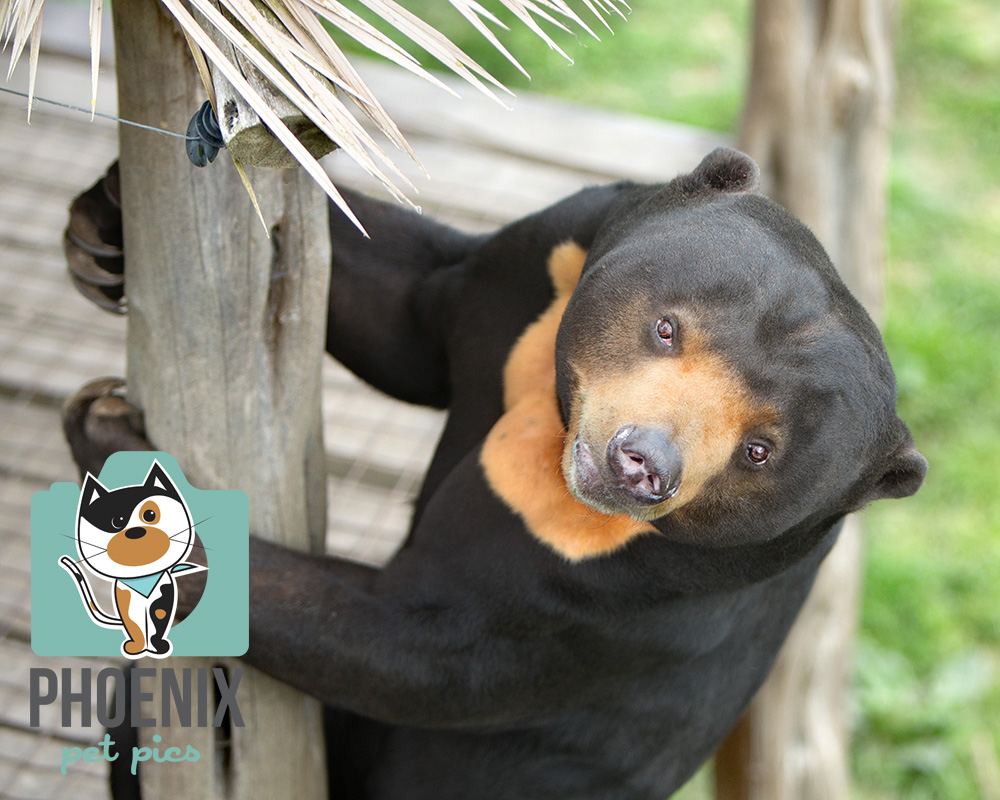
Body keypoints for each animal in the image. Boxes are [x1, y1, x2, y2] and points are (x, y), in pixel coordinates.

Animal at [63, 148, 926, 800]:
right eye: (667, 328)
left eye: (760, 450)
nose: (640, 465)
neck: (554, 416)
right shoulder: (535, 263)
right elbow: (406, 313)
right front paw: (104, 224)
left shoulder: (630, 592)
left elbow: (415, 646)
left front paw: (109, 438)